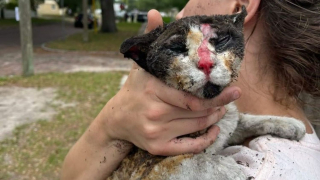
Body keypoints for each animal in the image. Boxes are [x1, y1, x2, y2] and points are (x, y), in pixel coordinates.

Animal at [108, 6, 308, 179]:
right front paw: (232, 170)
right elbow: (193, 162)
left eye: (222, 41)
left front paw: (288, 123)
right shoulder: (147, 168)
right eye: (177, 49)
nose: (206, 63)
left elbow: (245, 119)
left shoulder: (229, 123)